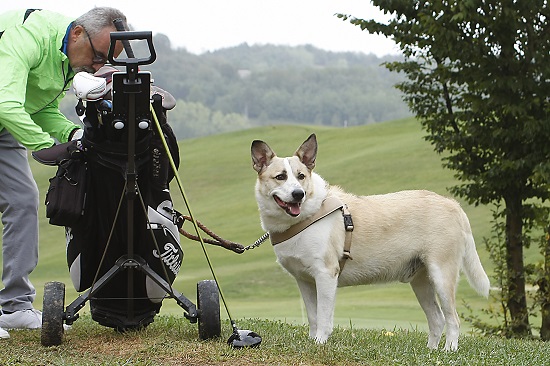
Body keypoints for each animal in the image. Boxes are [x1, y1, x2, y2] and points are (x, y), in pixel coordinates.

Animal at [252, 133, 490, 350]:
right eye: (280, 177)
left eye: (301, 176)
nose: (298, 194)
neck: (306, 216)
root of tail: (453, 205)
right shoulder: (305, 281)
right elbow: (312, 317)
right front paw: (312, 342)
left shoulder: (326, 275)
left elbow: (323, 317)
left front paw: (319, 343)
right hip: (421, 282)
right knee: (437, 320)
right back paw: (432, 352)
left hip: (442, 275)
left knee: (453, 320)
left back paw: (449, 350)